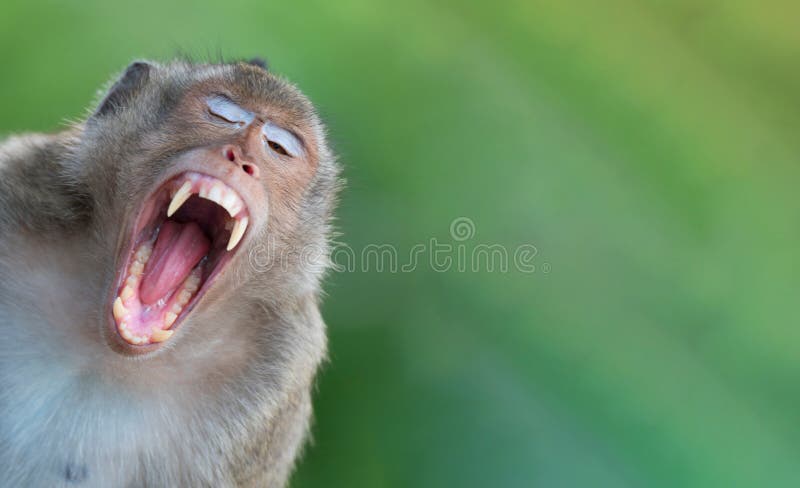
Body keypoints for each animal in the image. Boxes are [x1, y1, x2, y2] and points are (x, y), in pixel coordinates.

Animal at [0, 59, 340, 486]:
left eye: (278, 148)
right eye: (221, 115)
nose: (239, 159)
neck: (109, 353)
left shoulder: (277, 370)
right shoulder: (19, 192)